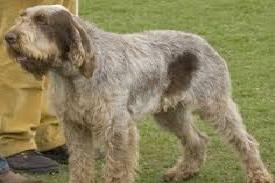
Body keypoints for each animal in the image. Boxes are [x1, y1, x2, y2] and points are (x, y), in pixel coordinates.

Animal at [4, 4, 274, 183]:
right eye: (22, 17)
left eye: (42, 21)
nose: (9, 37)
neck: (74, 76)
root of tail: (203, 41)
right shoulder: (75, 127)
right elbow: (81, 166)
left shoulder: (118, 128)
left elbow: (116, 170)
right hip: (170, 113)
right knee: (197, 139)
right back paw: (183, 172)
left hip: (215, 104)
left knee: (246, 142)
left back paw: (259, 175)